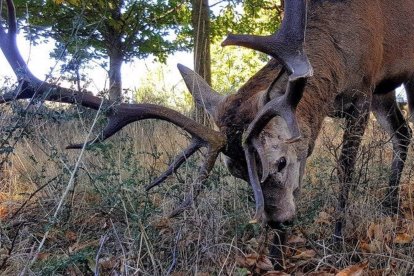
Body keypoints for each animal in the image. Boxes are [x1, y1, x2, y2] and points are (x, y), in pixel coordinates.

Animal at [0, 0, 414, 268]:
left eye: (280, 161)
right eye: (237, 172)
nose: (277, 221)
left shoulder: (363, 92)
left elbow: (345, 169)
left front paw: (338, 243)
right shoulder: (344, 107)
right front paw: (278, 255)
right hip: (386, 94)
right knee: (403, 133)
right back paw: (390, 208)